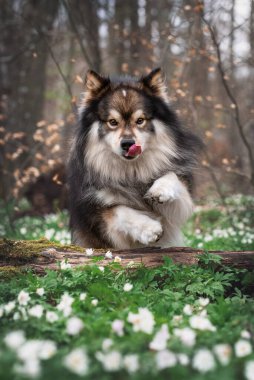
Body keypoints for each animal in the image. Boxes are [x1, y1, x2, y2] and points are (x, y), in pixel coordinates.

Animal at [68, 68, 202, 249]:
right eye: (112, 122)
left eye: (140, 120)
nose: (127, 144)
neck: (132, 172)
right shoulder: (96, 215)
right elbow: (119, 210)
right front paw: (149, 228)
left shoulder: (178, 208)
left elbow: (171, 176)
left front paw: (160, 189)